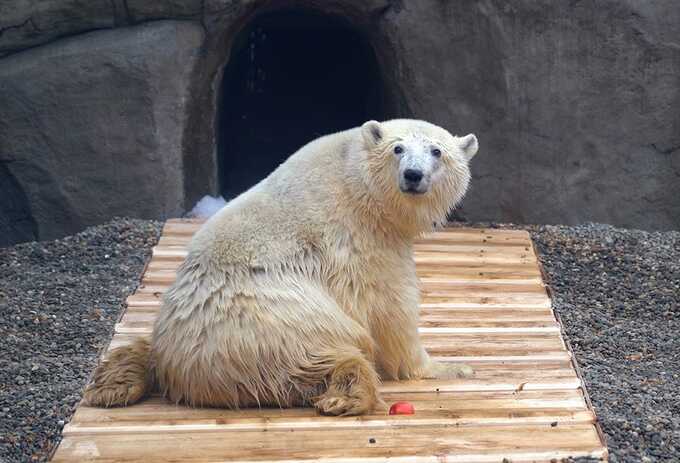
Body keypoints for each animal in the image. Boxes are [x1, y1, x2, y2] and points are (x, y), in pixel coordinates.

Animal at [83, 119, 478, 416]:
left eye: (436, 151)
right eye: (398, 149)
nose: (413, 175)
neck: (356, 181)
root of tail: (180, 367)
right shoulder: (360, 241)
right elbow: (390, 309)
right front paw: (450, 367)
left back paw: (112, 384)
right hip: (273, 323)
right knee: (318, 354)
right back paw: (345, 394)